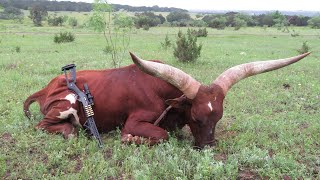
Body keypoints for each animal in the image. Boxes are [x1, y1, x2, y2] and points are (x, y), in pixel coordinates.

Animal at [24, 51, 310, 148]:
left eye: (218, 117)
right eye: (196, 117)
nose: (209, 146)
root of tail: (46, 87)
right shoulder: (135, 122)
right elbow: (160, 135)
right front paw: (131, 140)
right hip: (67, 103)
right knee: (46, 126)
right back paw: (70, 130)